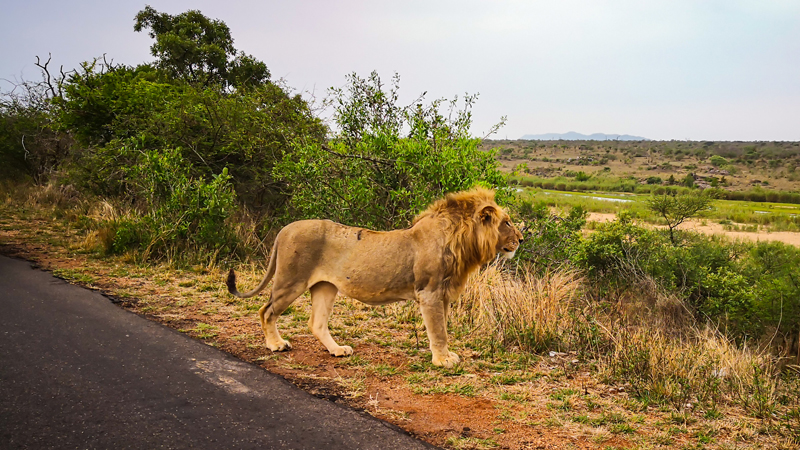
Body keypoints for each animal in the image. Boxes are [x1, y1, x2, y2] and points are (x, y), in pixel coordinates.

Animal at [228, 188, 520, 368]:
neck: (462, 241)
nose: (522, 239)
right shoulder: (430, 292)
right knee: (266, 310)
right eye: (506, 222)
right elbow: (439, 331)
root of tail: (283, 229)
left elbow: (443, 328)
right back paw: (276, 345)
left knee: (316, 323)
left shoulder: (444, 294)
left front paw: (445, 356)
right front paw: (443, 360)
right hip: (291, 280)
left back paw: (337, 350)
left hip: (325, 286)